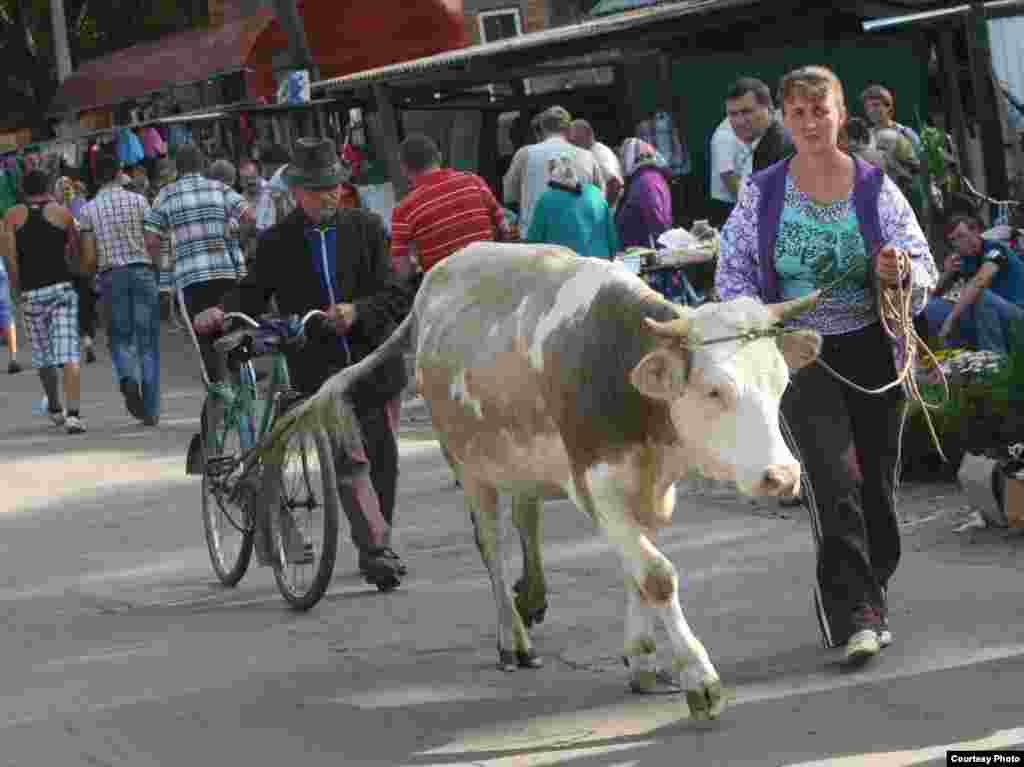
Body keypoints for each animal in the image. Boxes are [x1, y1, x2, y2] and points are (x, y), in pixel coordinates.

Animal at [260, 243, 819, 716]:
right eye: (714, 390)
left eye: (781, 382)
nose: (783, 474)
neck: (619, 373)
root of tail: (430, 287)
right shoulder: (595, 485)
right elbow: (657, 574)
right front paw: (699, 679)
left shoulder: (647, 486)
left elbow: (636, 571)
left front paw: (641, 658)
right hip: (468, 465)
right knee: (491, 543)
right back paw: (512, 637)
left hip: (521, 464)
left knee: (526, 518)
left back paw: (531, 594)